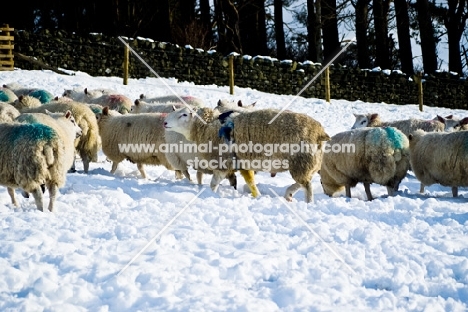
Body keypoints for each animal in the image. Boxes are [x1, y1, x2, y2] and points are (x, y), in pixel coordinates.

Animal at [164, 106, 330, 202]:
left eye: (184, 115)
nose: (164, 123)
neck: (208, 126)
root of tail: (319, 132)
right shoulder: (242, 162)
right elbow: (250, 181)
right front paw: (256, 195)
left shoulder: (222, 161)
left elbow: (213, 183)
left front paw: (212, 195)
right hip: (309, 163)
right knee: (304, 181)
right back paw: (288, 194)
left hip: (301, 161)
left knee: (307, 186)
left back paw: (308, 203)